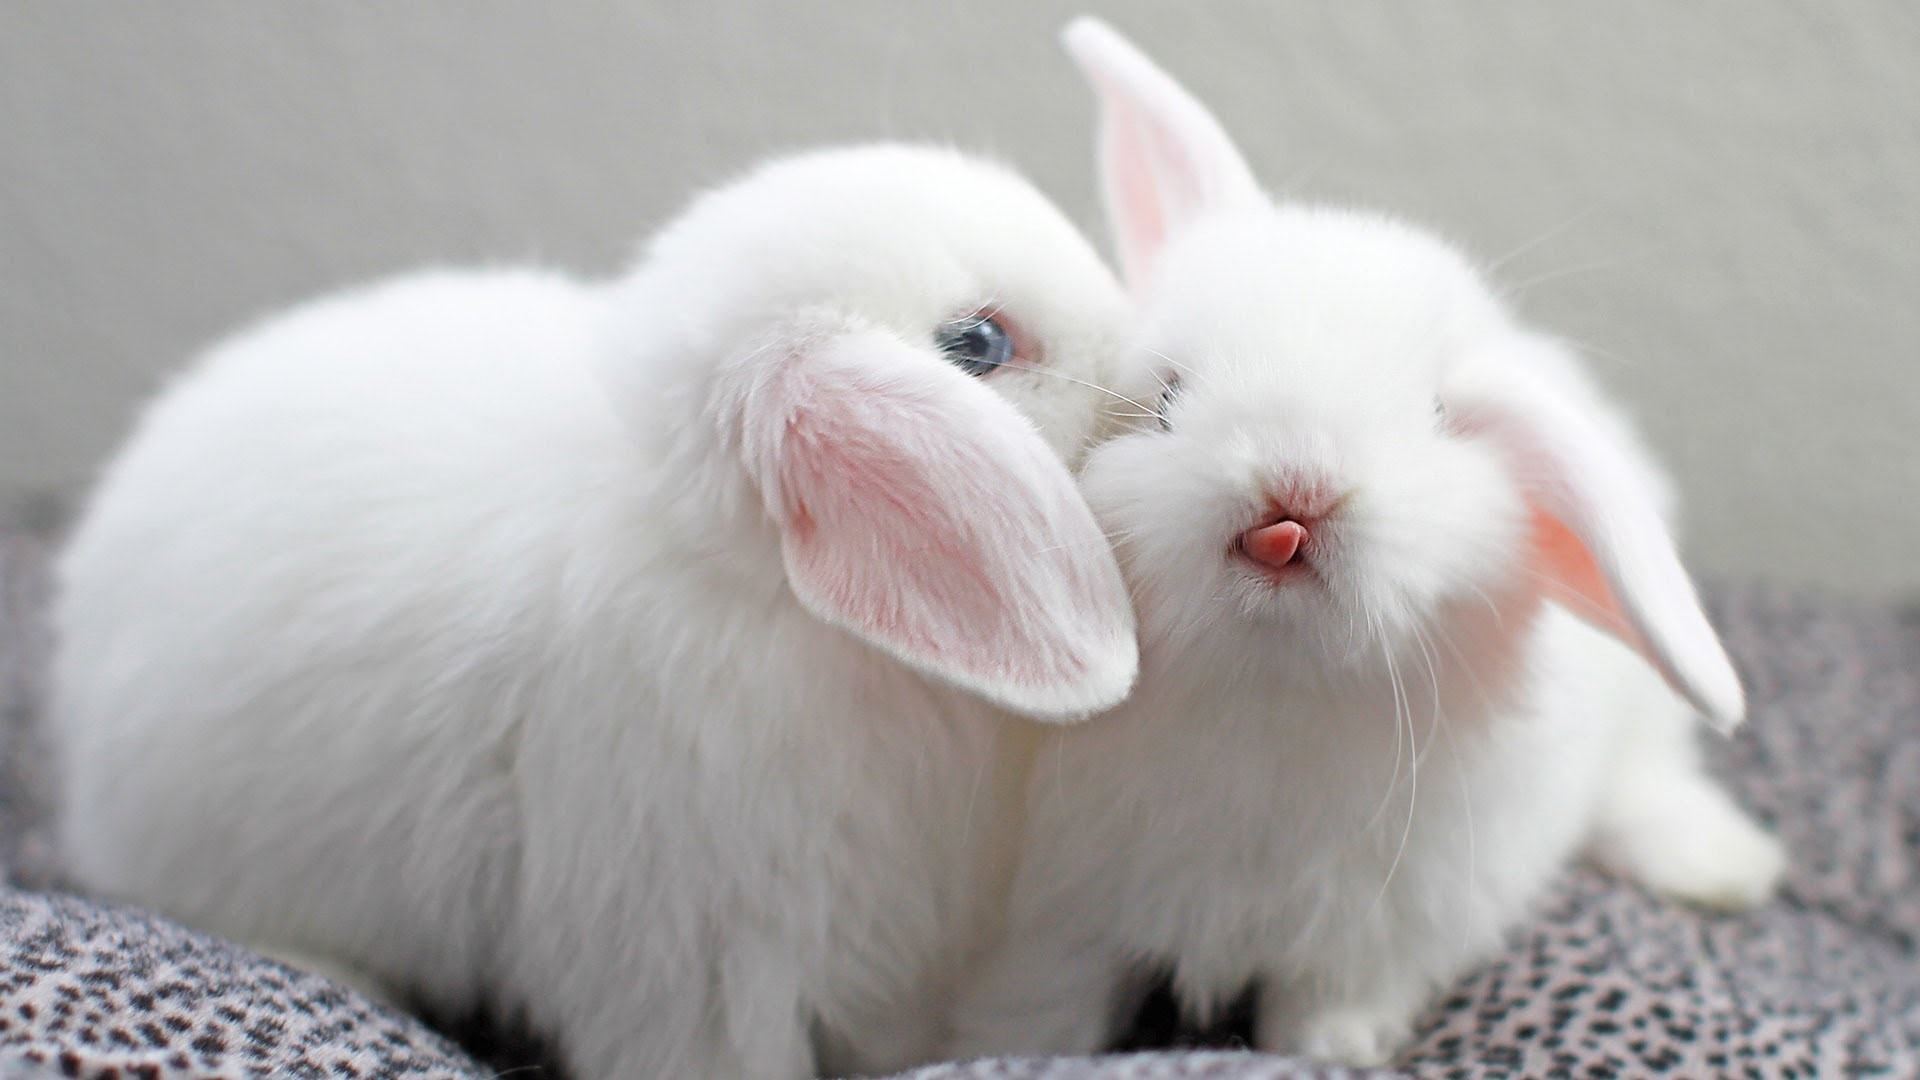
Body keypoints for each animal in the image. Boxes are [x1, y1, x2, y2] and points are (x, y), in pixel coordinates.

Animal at [947, 19, 1786, 1067]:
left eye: (1436, 419)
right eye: (1166, 398)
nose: (1295, 489)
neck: (1267, 697)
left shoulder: (1374, 937)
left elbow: (1325, 1010)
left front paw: (1341, 1053)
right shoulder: (1058, 920)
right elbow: (1047, 1010)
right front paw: (1000, 1048)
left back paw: (1726, 867)